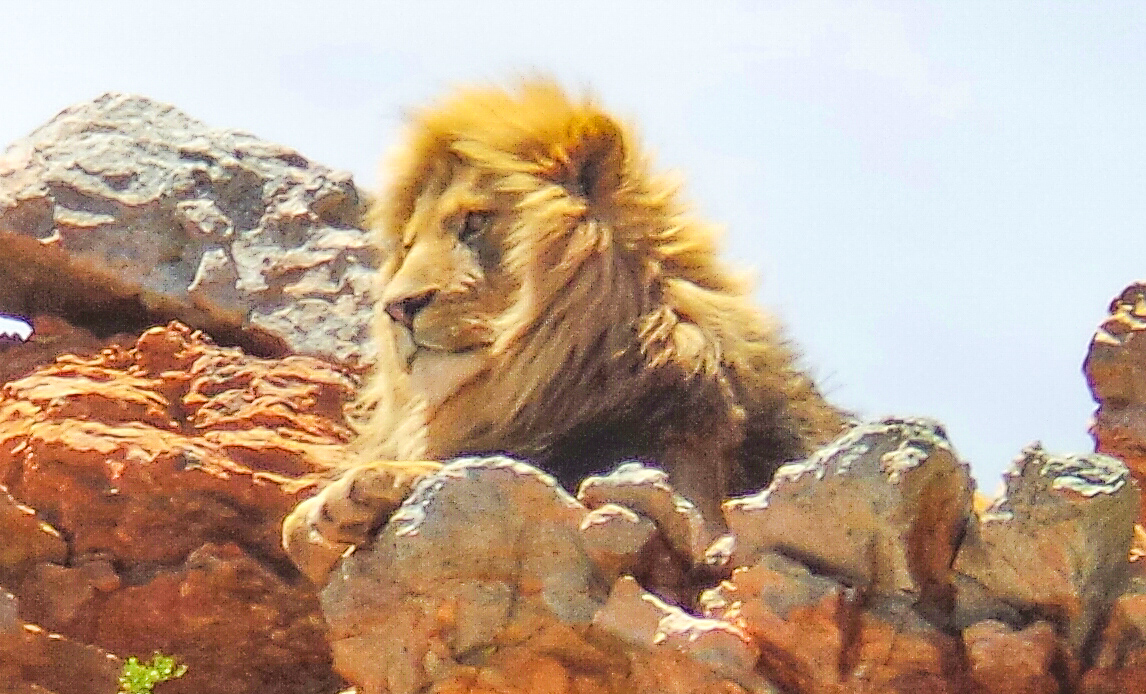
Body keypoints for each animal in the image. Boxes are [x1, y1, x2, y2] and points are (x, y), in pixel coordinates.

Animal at [283, 80, 848, 581]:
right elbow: (293, 532)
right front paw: (318, 516)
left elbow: (498, 471)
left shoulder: (693, 507)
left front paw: (363, 488)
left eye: (473, 223)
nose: (397, 308)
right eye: (406, 246)